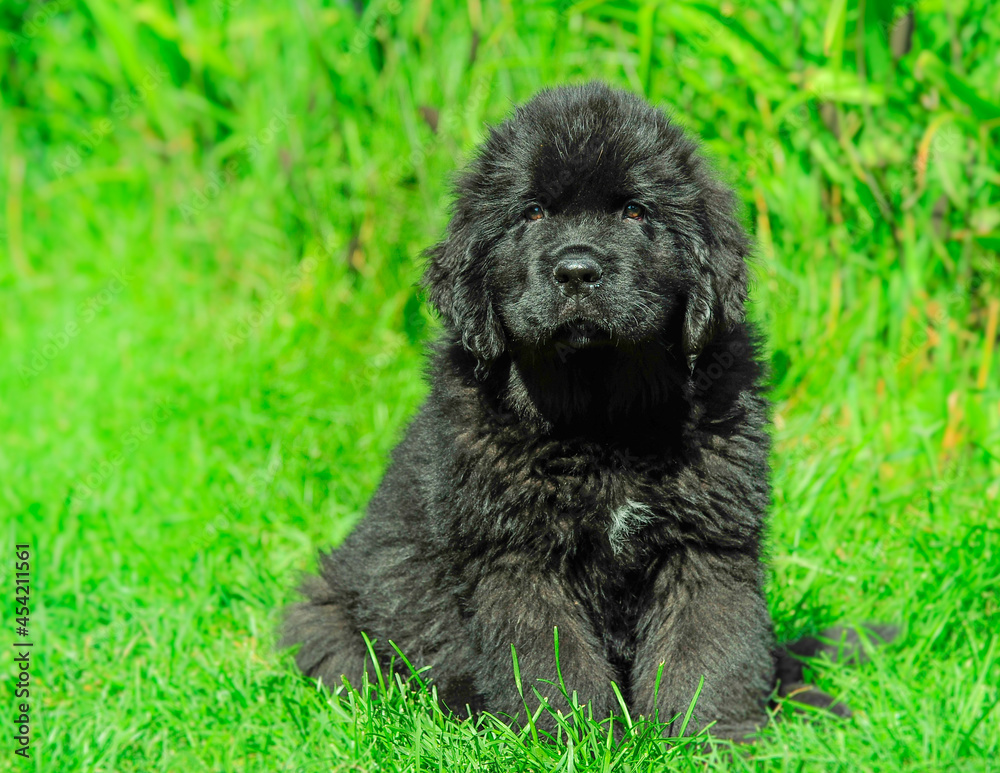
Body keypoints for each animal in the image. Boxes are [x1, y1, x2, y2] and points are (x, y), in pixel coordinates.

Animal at [284, 81, 860, 740]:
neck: (601, 417)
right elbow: (551, 660)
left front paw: (709, 740)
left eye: (635, 212)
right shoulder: (516, 556)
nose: (577, 271)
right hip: (329, 621)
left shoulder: (707, 541)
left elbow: (707, 648)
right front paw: (577, 741)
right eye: (533, 213)